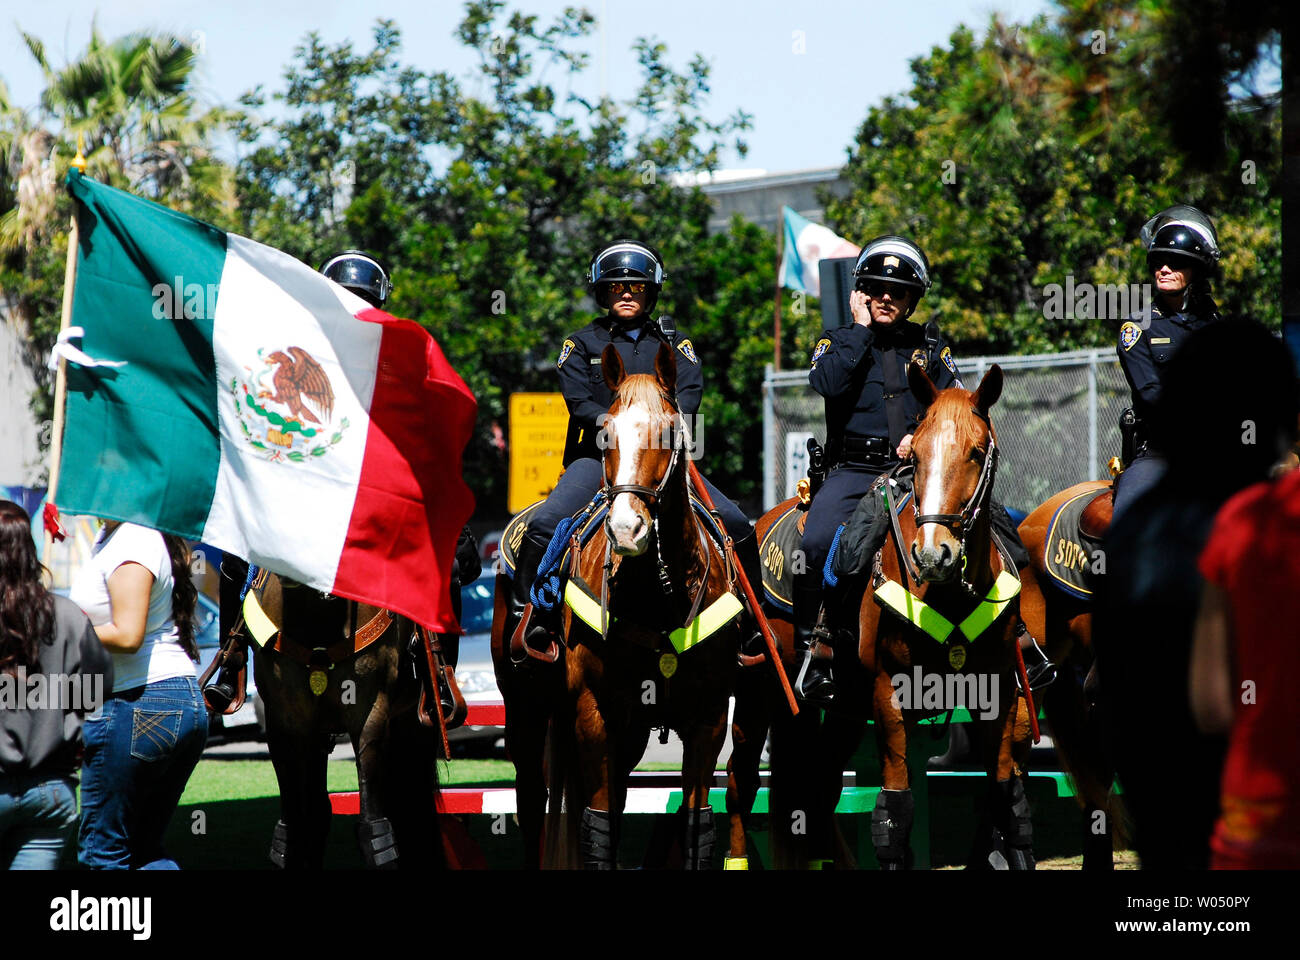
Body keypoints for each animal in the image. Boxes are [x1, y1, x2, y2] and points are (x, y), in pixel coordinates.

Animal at [488, 343, 743, 868]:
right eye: (605, 434)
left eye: (668, 432)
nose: (627, 529)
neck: (659, 596)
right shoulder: (594, 711)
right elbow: (598, 827)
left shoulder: (707, 717)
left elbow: (697, 827)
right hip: (526, 714)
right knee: (532, 804)